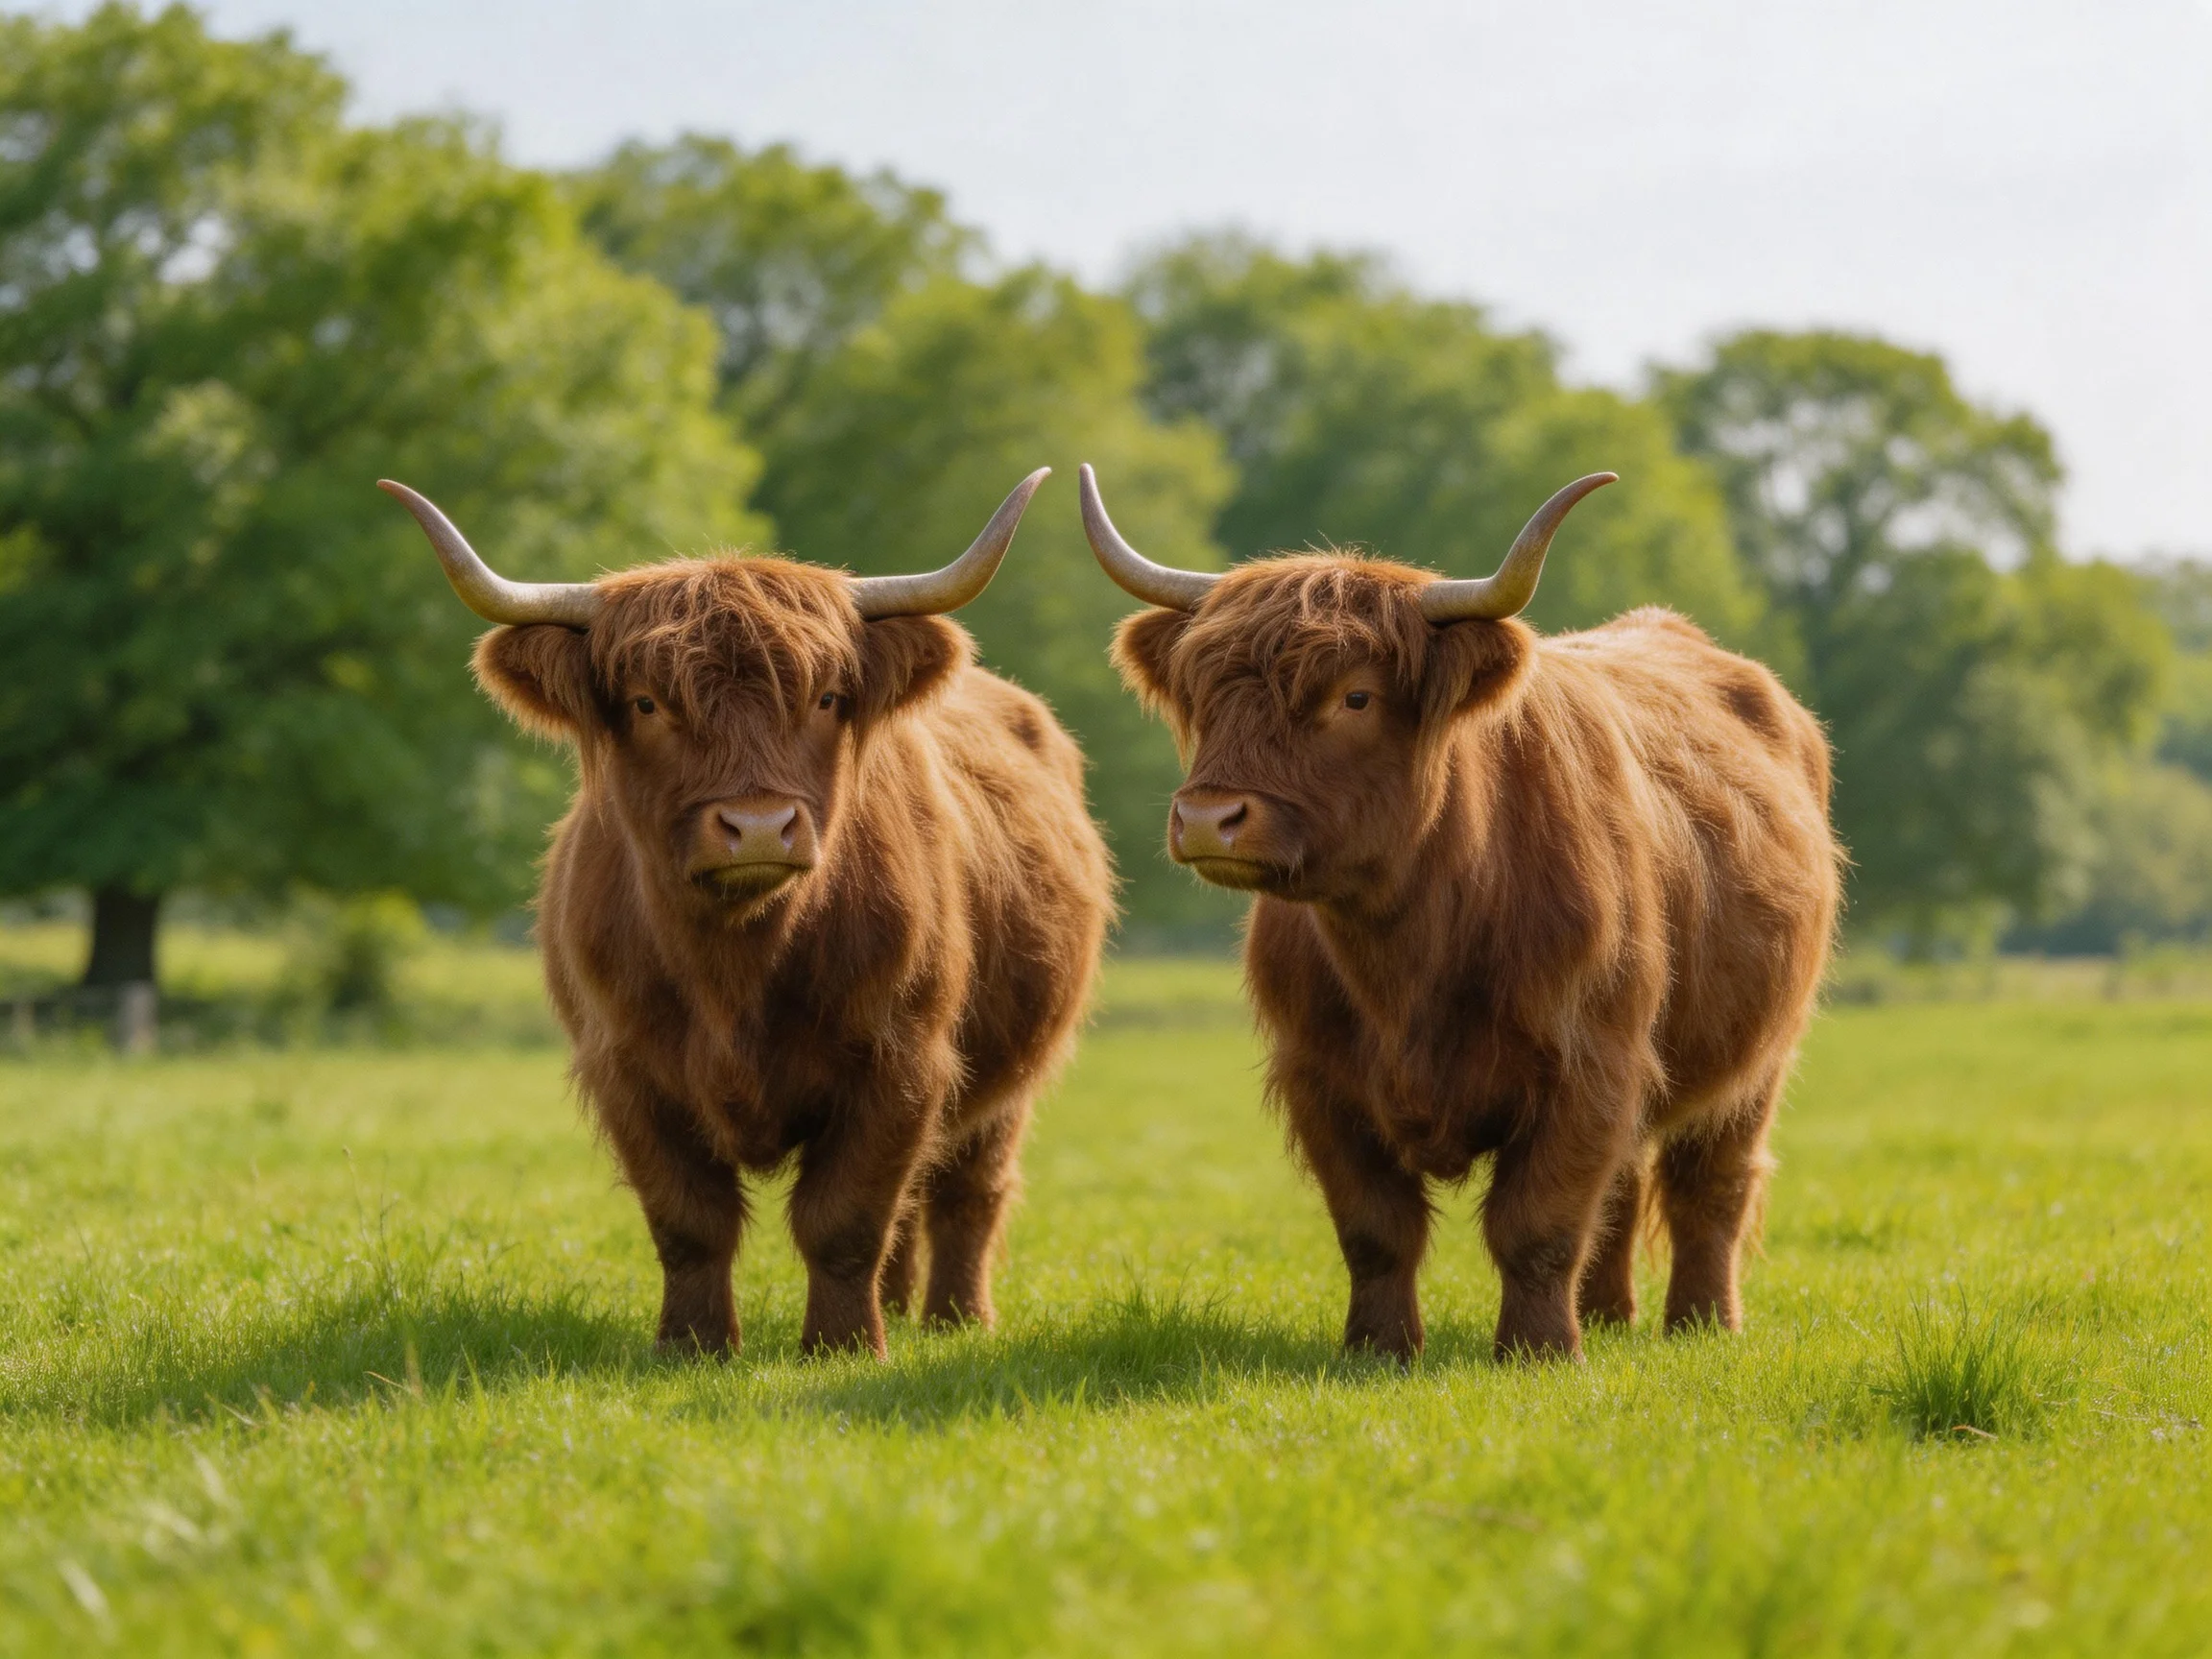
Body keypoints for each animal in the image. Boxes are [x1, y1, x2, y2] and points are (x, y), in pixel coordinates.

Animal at [381, 472, 1112, 1358]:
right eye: (647, 704)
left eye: (827, 698)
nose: (759, 826)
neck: (734, 966)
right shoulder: (626, 1066)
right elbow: (688, 1221)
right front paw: (693, 1345)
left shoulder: (902, 1059)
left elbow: (845, 1219)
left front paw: (842, 1346)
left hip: (1009, 1076)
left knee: (968, 1189)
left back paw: (954, 1319)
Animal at [1078, 464, 1840, 1362]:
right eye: (1202, 694)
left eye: (1356, 697)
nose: (1207, 818)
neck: (1412, 952)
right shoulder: (1321, 1076)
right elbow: (1376, 1229)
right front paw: (1377, 1350)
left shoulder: (1589, 1063)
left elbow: (1538, 1223)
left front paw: (1539, 1352)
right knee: (1621, 1194)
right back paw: (1609, 1317)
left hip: (1758, 1060)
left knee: (1710, 1188)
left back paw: (1700, 1324)